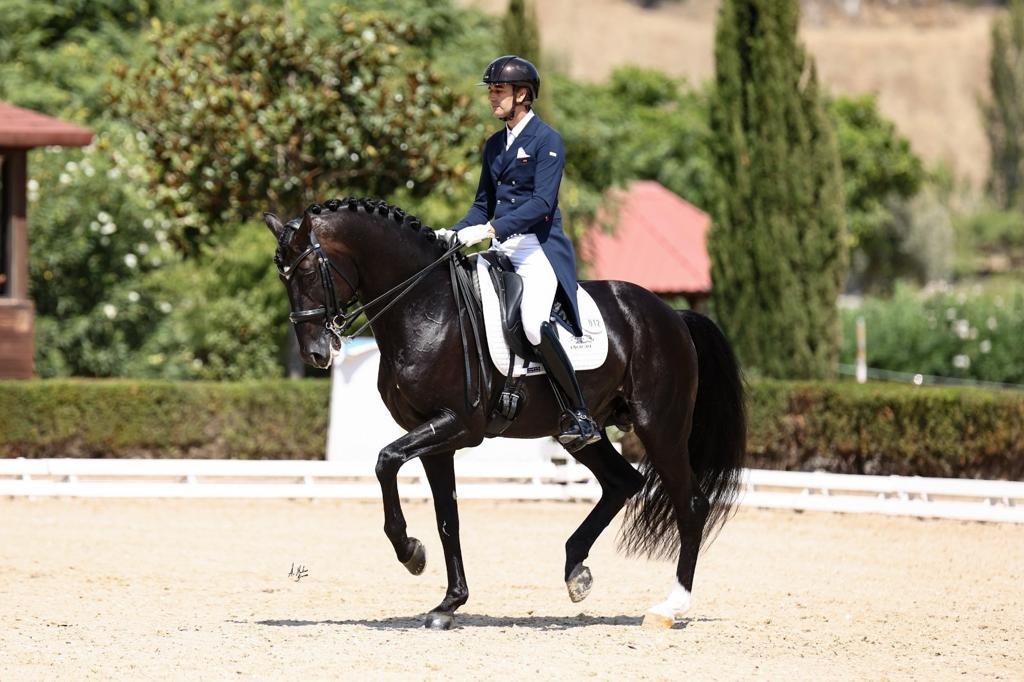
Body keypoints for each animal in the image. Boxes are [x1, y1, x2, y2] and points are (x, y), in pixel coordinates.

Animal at [264, 195, 745, 626]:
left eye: (307, 271)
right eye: (282, 277)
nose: (314, 353)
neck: (425, 306)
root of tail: (671, 315)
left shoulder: (459, 425)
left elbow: (385, 462)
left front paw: (410, 552)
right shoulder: (436, 438)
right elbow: (447, 518)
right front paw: (448, 603)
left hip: (659, 426)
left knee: (691, 504)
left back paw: (669, 606)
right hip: (582, 433)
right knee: (622, 481)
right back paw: (576, 571)